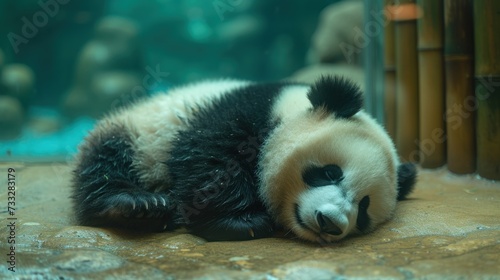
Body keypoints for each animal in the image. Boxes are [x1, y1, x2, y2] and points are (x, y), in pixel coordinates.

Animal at [69, 75, 414, 244]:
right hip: (140, 133)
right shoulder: (237, 114)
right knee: (106, 160)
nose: (329, 223)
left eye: (364, 209)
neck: (285, 108)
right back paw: (136, 205)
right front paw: (243, 222)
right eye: (330, 173)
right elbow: (211, 161)